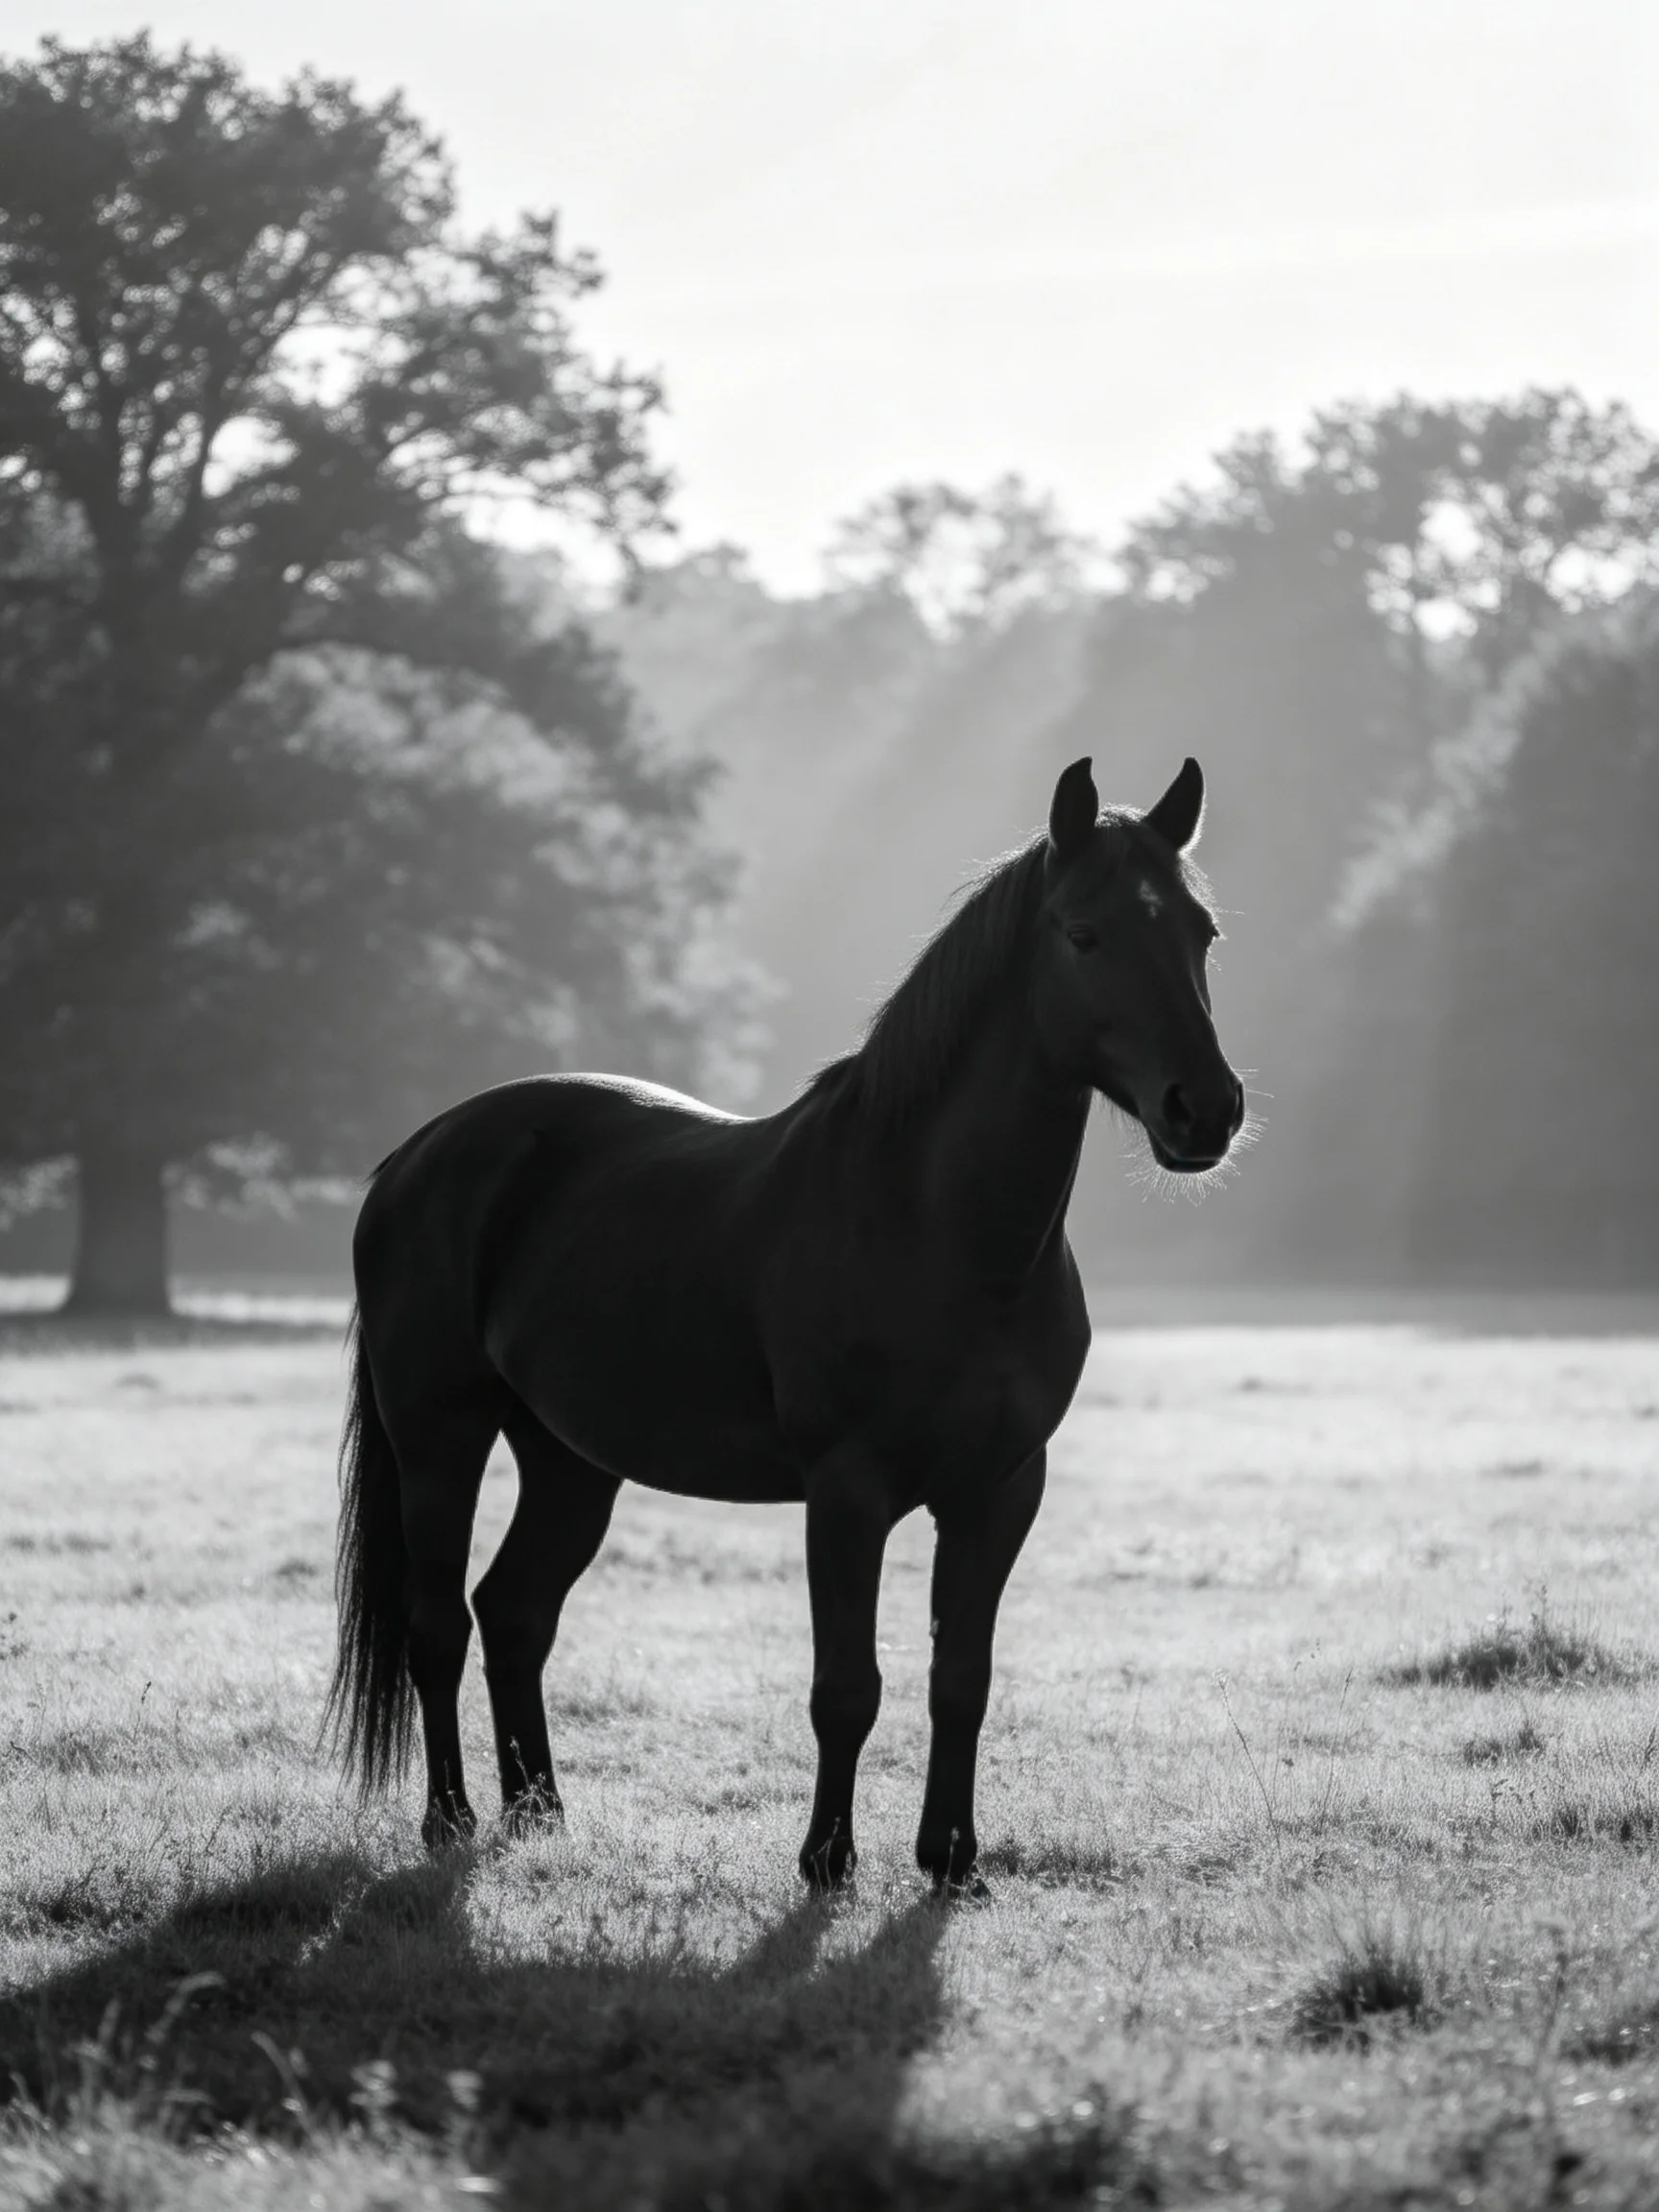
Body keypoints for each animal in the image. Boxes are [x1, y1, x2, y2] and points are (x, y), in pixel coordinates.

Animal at [327, 754, 1246, 1892]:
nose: (1205, 1110)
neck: (936, 1228)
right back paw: (449, 1821)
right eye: (1084, 933)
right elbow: (846, 1687)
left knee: (515, 1612)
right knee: (438, 1626)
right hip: (439, 1442)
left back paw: (540, 1815)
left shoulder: (1000, 1490)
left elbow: (962, 1679)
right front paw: (826, 1863)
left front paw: (952, 1863)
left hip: (571, 1460)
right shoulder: (846, 1493)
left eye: (1200, 932)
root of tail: (415, 1157)